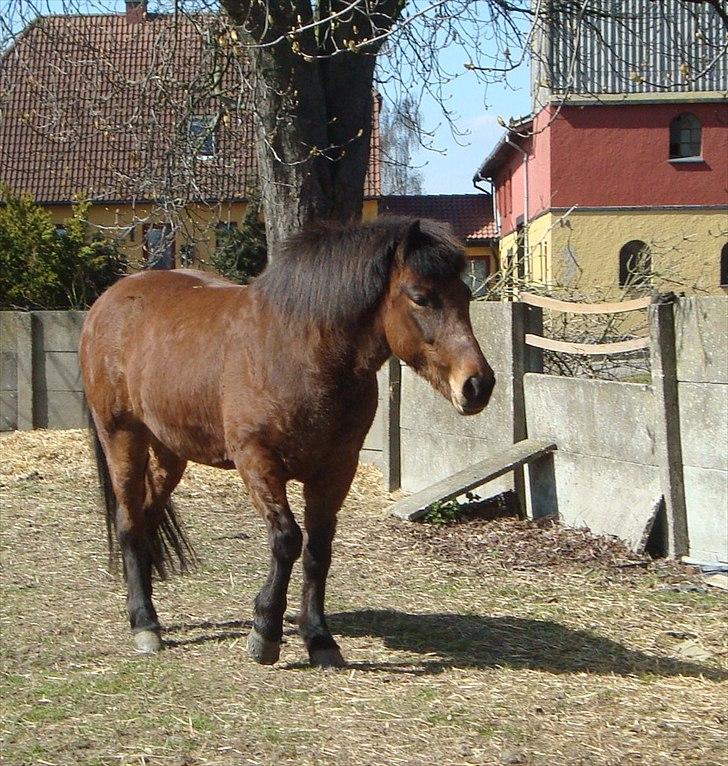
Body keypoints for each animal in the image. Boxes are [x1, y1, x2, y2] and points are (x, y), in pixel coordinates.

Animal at [82, 214, 498, 664]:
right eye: (421, 297)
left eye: (465, 295)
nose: (478, 385)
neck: (298, 353)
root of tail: (106, 303)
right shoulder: (257, 461)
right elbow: (286, 539)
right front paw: (265, 631)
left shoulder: (337, 469)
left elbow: (318, 550)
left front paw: (319, 639)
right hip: (122, 437)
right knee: (129, 522)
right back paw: (144, 623)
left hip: (169, 451)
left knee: (147, 517)